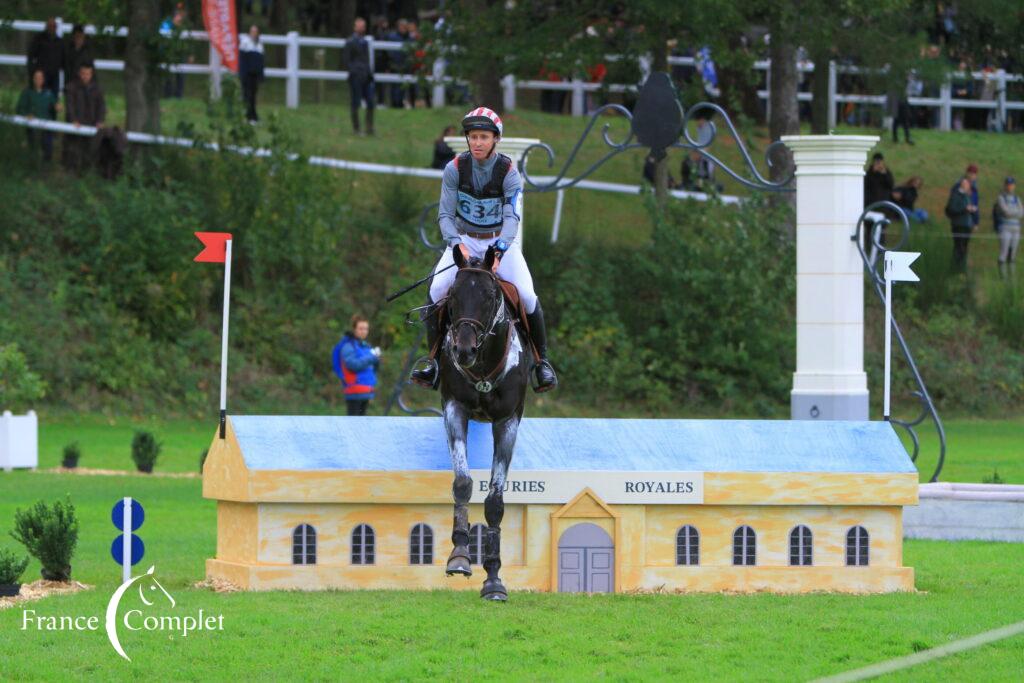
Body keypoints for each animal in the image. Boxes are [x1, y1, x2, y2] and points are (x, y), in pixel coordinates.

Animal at [436, 242, 528, 602]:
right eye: (452, 296)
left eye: (489, 297)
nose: (463, 351)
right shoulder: (454, 408)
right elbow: (463, 483)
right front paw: (460, 556)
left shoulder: (507, 421)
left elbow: (495, 502)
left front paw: (493, 580)